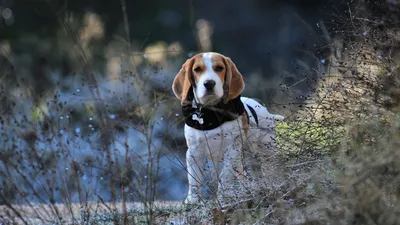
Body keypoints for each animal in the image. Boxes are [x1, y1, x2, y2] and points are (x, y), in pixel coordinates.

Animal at [172, 52, 284, 204]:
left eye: (219, 68)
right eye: (197, 69)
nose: (209, 83)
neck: (211, 114)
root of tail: (265, 111)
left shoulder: (231, 151)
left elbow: (224, 178)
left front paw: (222, 197)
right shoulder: (194, 153)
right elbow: (194, 180)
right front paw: (192, 200)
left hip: (265, 151)